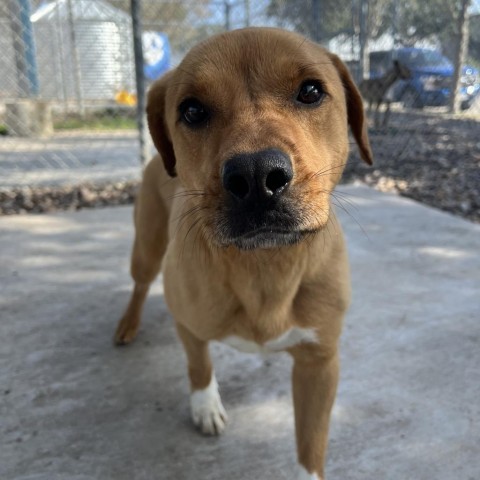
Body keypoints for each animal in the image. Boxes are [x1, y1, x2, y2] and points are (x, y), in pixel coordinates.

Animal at [114, 28, 374, 478]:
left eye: (311, 91)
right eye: (192, 110)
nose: (256, 176)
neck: (263, 265)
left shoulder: (320, 363)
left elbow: (311, 446)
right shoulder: (189, 323)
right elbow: (199, 364)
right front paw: (205, 404)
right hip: (146, 247)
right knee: (140, 285)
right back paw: (128, 324)